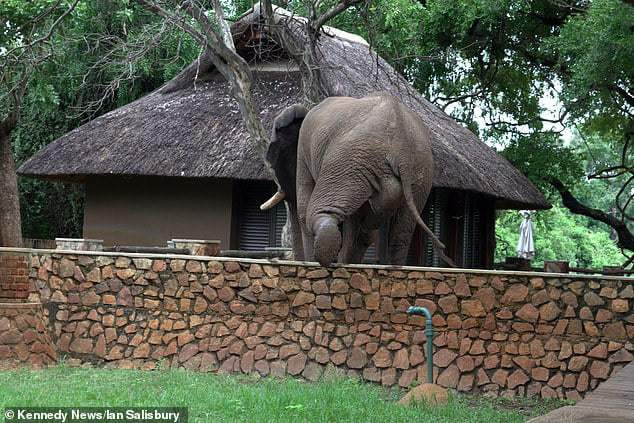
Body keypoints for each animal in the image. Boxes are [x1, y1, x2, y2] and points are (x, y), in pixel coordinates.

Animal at [260, 93, 452, 268]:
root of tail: (402, 143)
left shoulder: (303, 153)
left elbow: (303, 209)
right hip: (419, 171)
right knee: (399, 232)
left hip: (350, 157)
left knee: (319, 212)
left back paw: (327, 260)